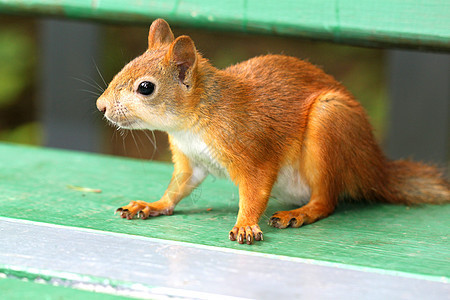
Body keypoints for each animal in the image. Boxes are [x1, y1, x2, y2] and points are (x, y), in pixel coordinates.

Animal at [96, 18, 450, 244]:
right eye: (127, 65)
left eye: (146, 87)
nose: (101, 106)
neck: (191, 123)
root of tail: (375, 168)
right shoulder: (190, 160)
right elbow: (177, 189)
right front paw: (151, 205)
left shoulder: (252, 149)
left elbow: (255, 190)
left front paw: (245, 225)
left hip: (329, 123)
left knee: (328, 200)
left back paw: (301, 212)